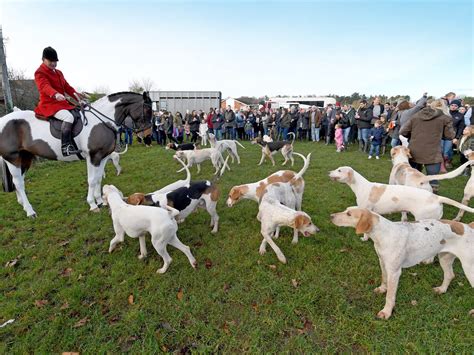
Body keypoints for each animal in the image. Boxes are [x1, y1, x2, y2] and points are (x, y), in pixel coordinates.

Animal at [0, 91, 152, 217]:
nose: (147, 136)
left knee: (19, 181)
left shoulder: (102, 157)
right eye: (147, 109)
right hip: (13, 158)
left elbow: (98, 179)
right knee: (18, 183)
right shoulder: (93, 156)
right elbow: (92, 180)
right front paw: (92, 204)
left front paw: (100, 201)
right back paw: (30, 211)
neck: (101, 121)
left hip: (25, 158)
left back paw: (23, 204)